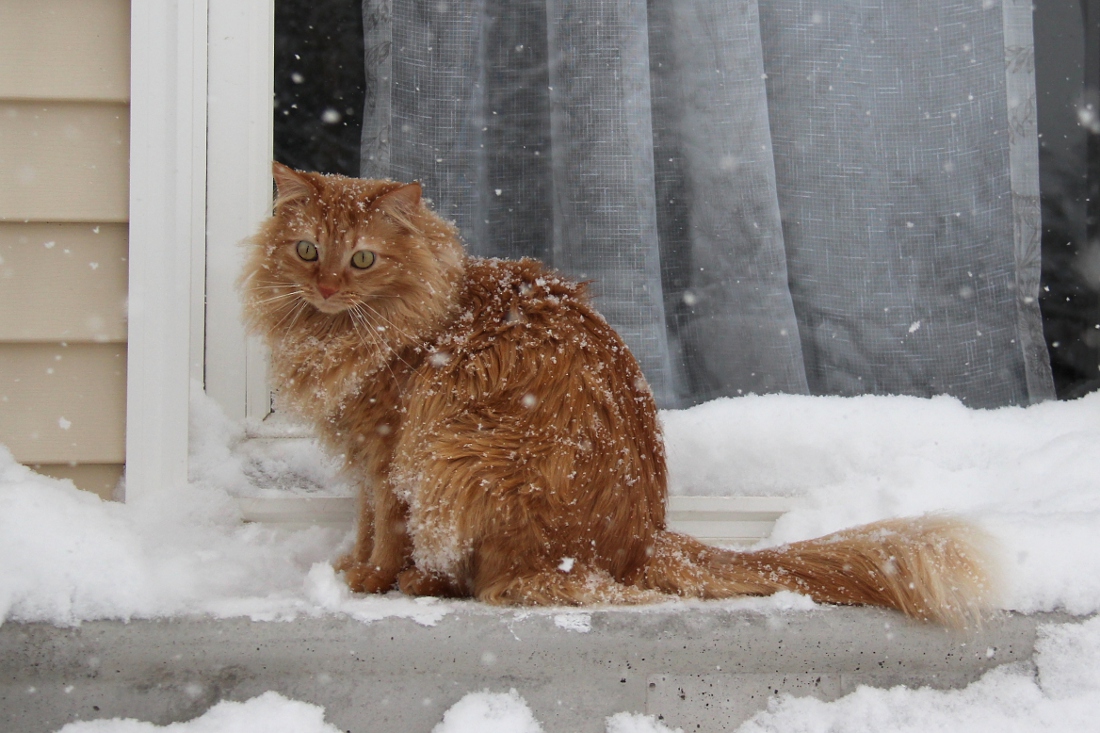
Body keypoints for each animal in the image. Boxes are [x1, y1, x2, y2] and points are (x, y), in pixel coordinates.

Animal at [243, 162, 998, 625]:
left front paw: (369, 581)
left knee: (493, 582)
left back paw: (430, 583)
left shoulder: (391, 450)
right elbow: (365, 523)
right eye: (308, 251)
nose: (327, 285)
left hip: (455, 457)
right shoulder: (367, 459)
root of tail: (641, 541)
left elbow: (388, 533)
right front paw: (350, 567)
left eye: (363, 259)